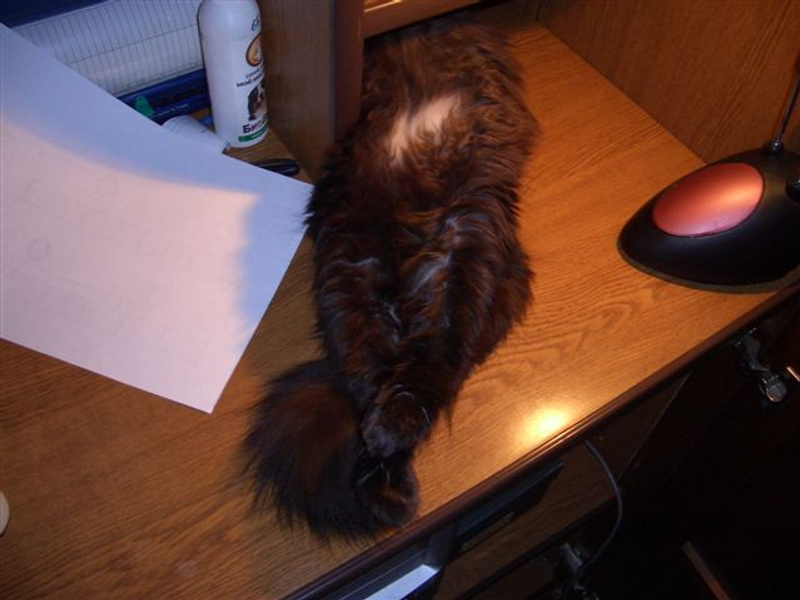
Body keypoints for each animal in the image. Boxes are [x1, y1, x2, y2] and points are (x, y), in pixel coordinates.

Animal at [245, 17, 538, 538]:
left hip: (445, 270)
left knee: (412, 384)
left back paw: (388, 473)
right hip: (367, 287)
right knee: (392, 392)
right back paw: (389, 476)